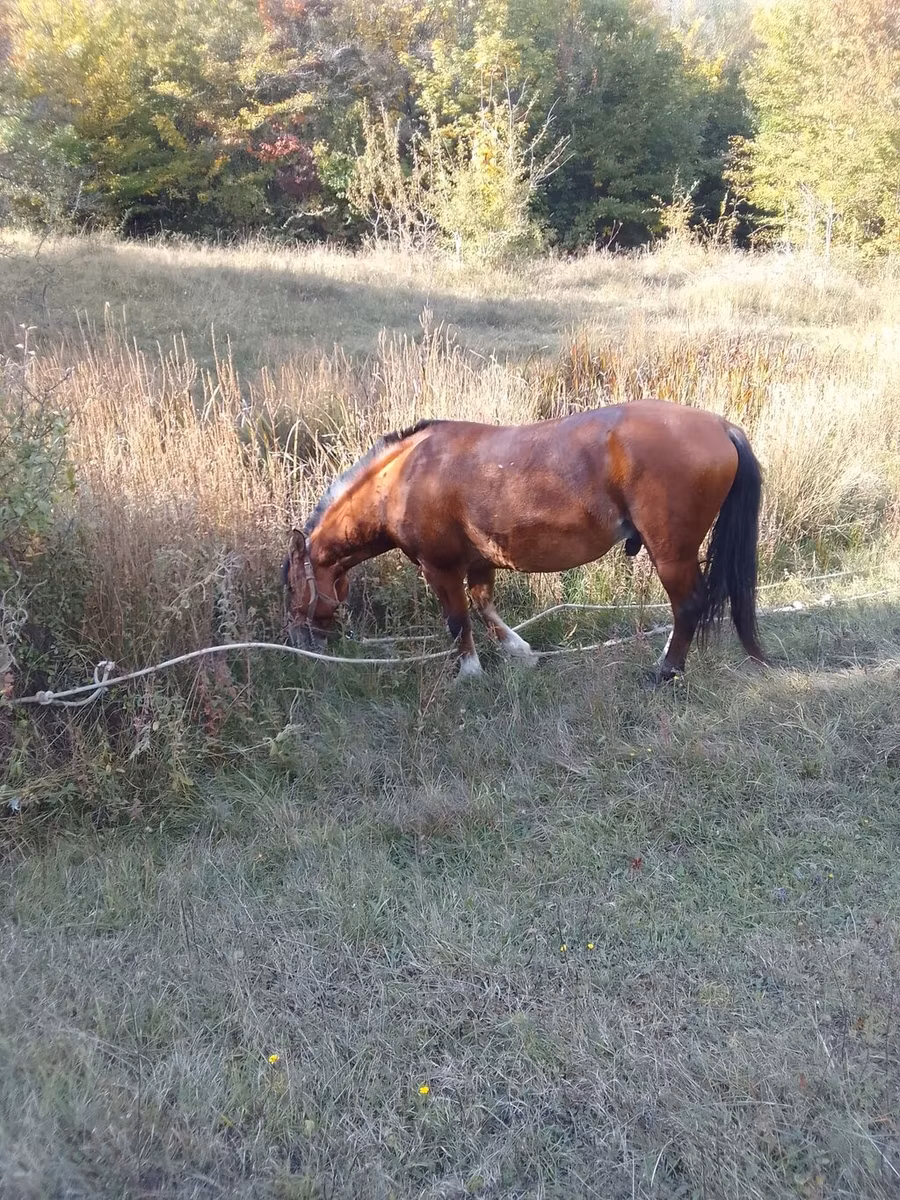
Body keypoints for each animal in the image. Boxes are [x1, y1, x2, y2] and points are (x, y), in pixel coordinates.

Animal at [283, 399, 765, 683]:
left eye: (291, 585)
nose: (300, 640)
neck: (404, 477)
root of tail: (721, 426)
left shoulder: (441, 567)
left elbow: (458, 620)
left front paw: (470, 674)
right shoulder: (479, 562)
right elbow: (484, 608)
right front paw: (522, 652)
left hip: (671, 554)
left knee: (688, 606)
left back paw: (666, 672)